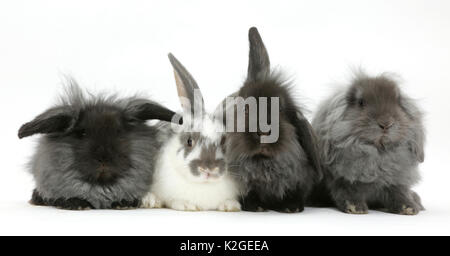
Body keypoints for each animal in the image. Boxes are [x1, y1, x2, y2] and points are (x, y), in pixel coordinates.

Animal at [18, 79, 179, 210]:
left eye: (119, 131)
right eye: (82, 133)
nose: (104, 158)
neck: (101, 188)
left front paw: (123, 204)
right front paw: (77, 205)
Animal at [312, 73, 426, 215]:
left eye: (398, 102)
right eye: (361, 102)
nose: (386, 123)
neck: (378, 153)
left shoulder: (395, 182)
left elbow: (399, 193)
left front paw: (409, 208)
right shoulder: (343, 181)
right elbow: (347, 193)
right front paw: (356, 208)